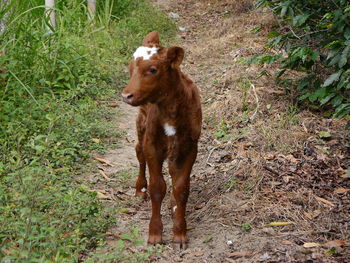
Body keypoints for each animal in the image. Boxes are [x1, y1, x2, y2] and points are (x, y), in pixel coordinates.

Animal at [121, 32, 201, 249]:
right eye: (131, 67)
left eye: (153, 69)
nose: (126, 95)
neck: (170, 111)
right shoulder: (152, 144)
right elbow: (157, 187)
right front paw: (155, 234)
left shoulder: (191, 146)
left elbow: (182, 188)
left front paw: (180, 233)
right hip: (141, 125)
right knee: (139, 153)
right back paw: (140, 189)